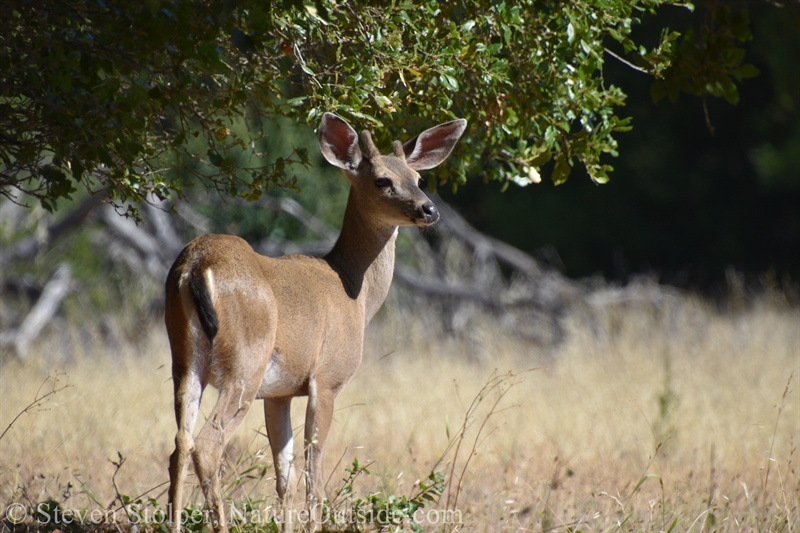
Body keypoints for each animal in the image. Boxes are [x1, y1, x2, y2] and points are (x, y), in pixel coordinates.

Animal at [165, 112, 466, 532]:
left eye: (418, 179)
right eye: (382, 180)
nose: (429, 210)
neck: (354, 294)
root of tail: (195, 263)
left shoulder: (279, 392)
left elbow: (285, 477)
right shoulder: (326, 379)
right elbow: (314, 477)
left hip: (184, 358)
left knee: (179, 443)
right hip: (245, 361)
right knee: (208, 445)